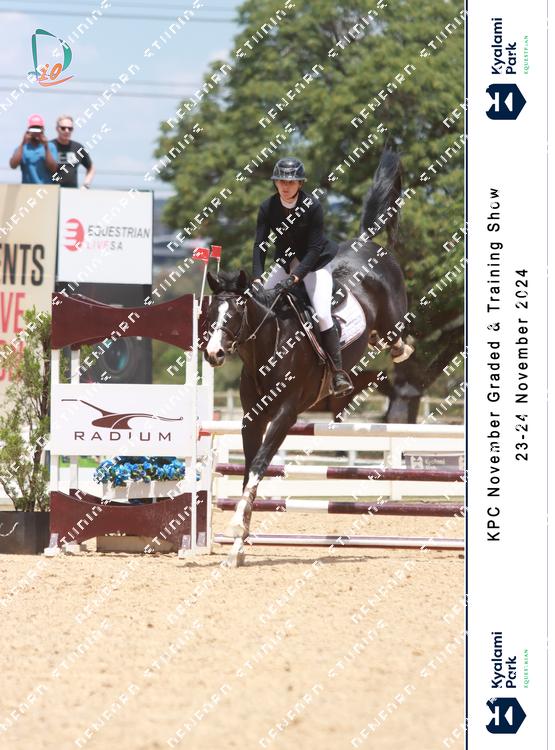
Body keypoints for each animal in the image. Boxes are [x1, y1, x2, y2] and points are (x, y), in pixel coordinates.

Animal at [204, 149, 413, 565]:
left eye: (234, 314)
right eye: (210, 313)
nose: (214, 353)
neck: (268, 350)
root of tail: (365, 243)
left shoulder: (285, 415)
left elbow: (258, 466)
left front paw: (235, 531)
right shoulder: (252, 418)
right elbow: (249, 471)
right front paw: (237, 547)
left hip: (393, 317)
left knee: (399, 337)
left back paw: (398, 352)